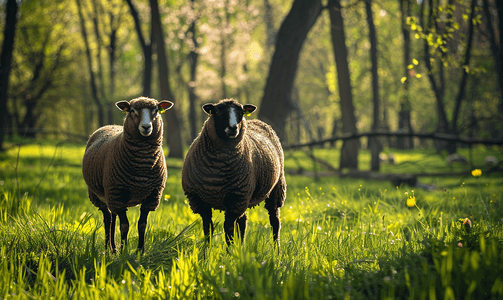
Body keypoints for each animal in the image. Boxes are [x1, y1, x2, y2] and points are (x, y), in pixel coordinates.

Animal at [82, 97, 173, 252]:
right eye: (132, 110)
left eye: (156, 110)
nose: (146, 127)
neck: (142, 167)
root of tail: (110, 125)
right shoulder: (117, 192)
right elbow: (124, 226)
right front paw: (124, 252)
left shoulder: (152, 195)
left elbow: (142, 224)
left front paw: (140, 250)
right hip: (100, 194)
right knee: (107, 218)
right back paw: (108, 248)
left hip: (110, 194)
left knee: (113, 217)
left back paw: (113, 248)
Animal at [182, 98, 288, 248]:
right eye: (218, 111)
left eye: (241, 112)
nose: (233, 128)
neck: (217, 169)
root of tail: (258, 121)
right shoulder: (199, 200)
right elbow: (208, 228)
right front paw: (206, 251)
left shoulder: (235, 199)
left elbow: (228, 230)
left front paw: (229, 251)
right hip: (244, 196)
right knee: (243, 221)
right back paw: (242, 248)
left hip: (275, 188)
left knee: (275, 221)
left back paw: (276, 249)